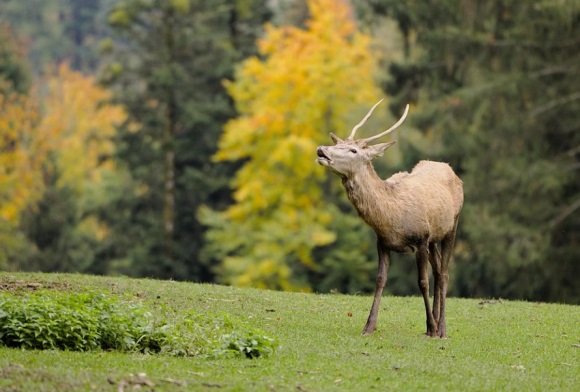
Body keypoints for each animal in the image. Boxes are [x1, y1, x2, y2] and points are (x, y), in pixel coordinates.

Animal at [314, 100, 464, 336]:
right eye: (338, 143)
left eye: (353, 149)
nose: (321, 150)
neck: (391, 218)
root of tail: (449, 168)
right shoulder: (383, 242)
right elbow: (380, 280)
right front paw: (369, 326)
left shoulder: (421, 238)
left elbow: (422, 282)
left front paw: (431, 327)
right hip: (434, 239)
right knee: (439, 269)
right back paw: (435, 325)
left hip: (452, 226)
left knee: (444, 274)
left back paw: (440, 329)